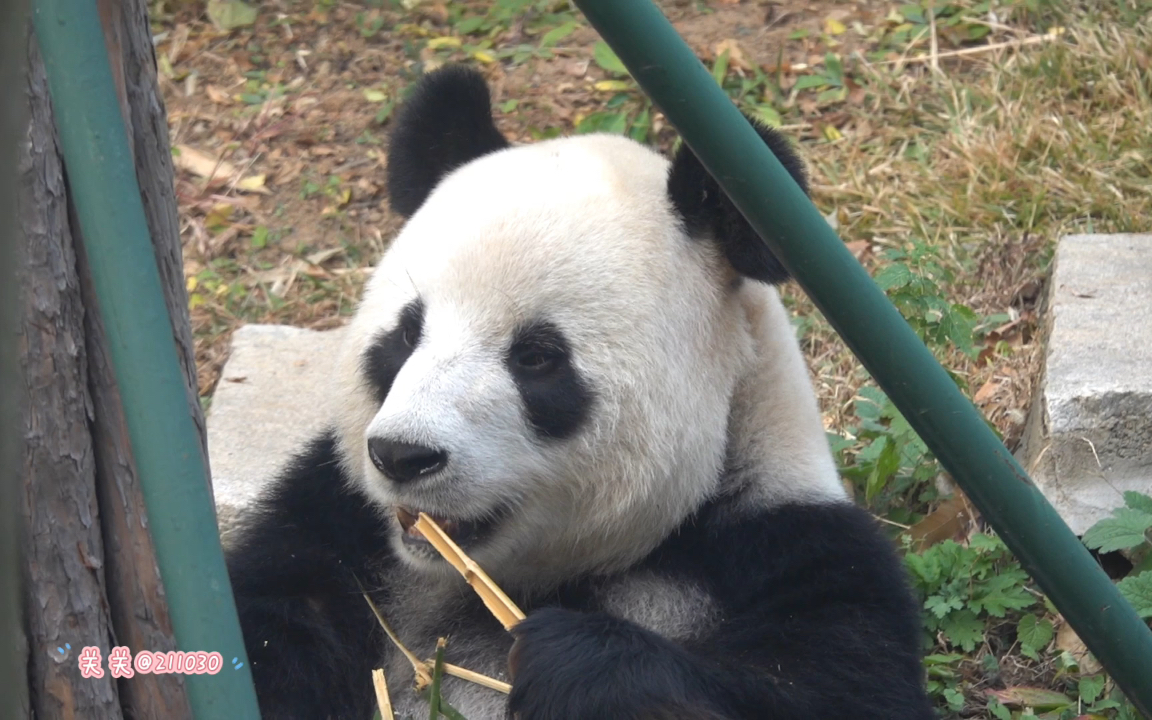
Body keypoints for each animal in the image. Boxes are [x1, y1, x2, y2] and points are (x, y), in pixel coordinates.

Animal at [226, 65, 935, 718]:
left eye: (537, 358)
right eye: (405, 334)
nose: (403, 456)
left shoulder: (790, 549)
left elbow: (835, 685)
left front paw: (573, 660)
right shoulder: (337, 530)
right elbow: (272, 627)